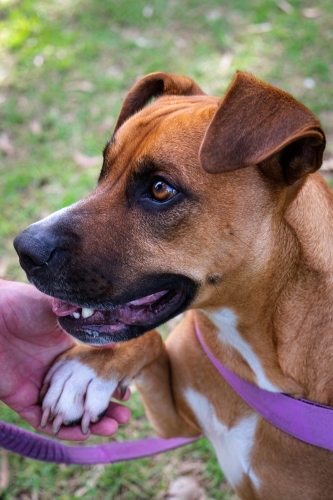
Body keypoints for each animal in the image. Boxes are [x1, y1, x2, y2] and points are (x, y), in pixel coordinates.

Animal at [14, 71, 332, 500]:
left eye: (161, 189)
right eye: (103, 170)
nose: (23, 249)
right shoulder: (175, 423)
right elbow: (148, 340)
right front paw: (91, 368)